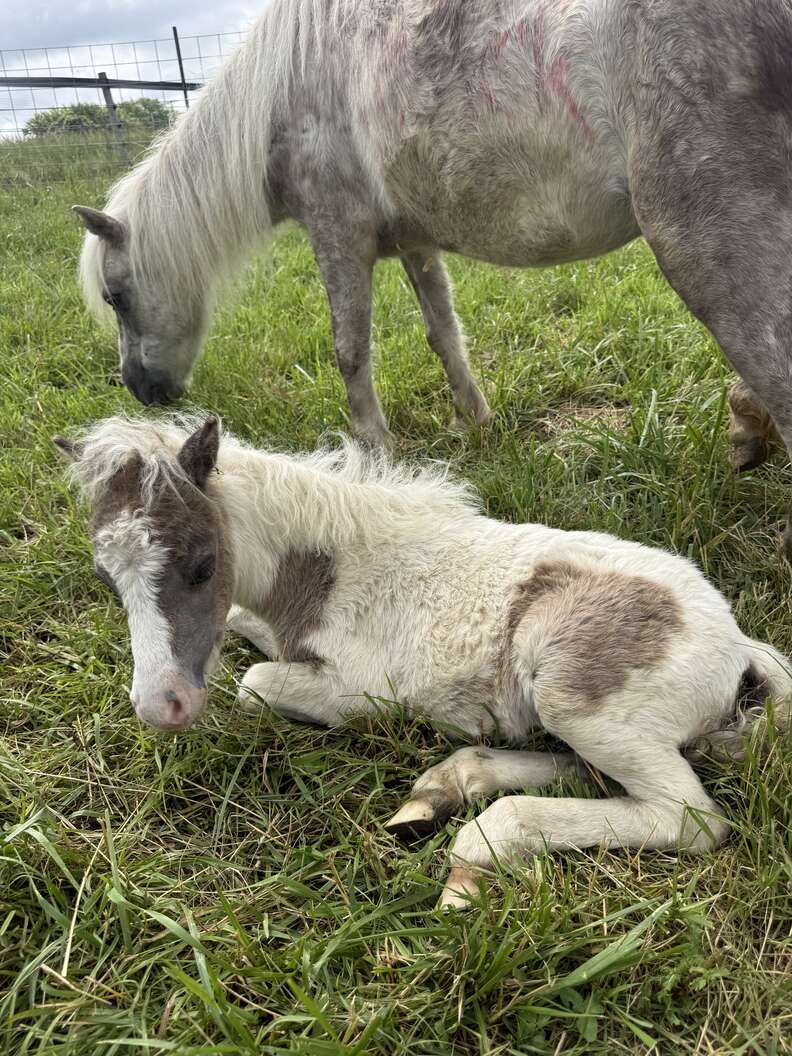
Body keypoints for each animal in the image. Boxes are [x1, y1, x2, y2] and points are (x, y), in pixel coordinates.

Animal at [55, 414, 792, 907]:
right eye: (103, 575)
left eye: (204, 565)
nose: (162, 705)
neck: (330, 569)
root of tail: (737, 649)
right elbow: (242, 630)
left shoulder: (363, 689)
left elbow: (256, 683)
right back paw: (445, 790)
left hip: (573, 693)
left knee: (689, 817)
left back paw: (482, 845)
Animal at [73, 0, 792, 554]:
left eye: (116, 296)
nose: (139, 388)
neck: (284, 93)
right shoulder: (416, 245)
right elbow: (445, 335)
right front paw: (478, 423)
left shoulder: (338, 235)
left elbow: (350, 348)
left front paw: (373, 457)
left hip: (700, 239)